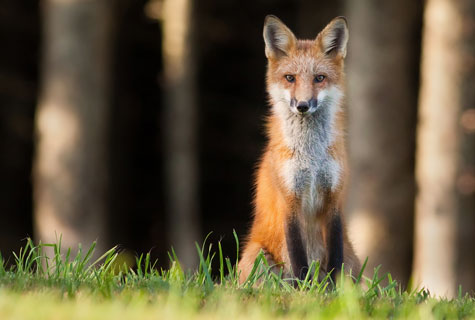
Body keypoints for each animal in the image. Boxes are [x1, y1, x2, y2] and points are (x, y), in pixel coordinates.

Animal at [240, 16, 362, 284]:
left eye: (319, 78)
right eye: (290, 78)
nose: (303, 105)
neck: (311, 157)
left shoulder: (333, 196)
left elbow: (334, 259)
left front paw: (332, 289)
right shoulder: (289, 198)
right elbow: (298, 259)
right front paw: (304, 289)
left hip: (354, 262)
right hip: (258, 256)